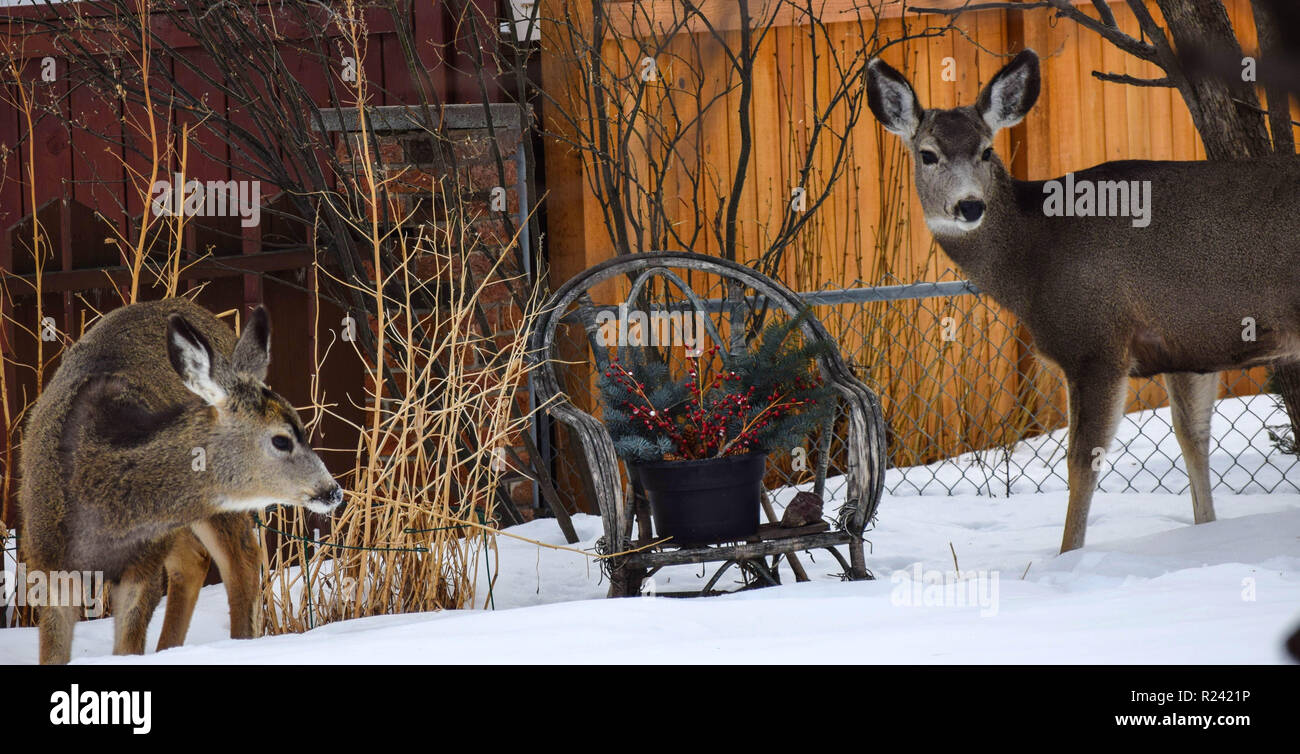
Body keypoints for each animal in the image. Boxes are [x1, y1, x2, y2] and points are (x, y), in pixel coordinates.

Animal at [18, 298, 344, 664]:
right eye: (281, 440)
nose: (332, 491)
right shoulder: (48, 564)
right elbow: (52, 652)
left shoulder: (143, 567)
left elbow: (127, 647)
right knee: (197, 560)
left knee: (242, 558)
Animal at [867, 49, 1300, 554]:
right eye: (928, 154)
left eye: (987, 151)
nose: (970, 205)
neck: (1035, 257)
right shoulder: (1188, 346)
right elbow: (1193, 438)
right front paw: (1205, 531)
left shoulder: (1095, 343)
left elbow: (1081, 462)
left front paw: (1067, 555)